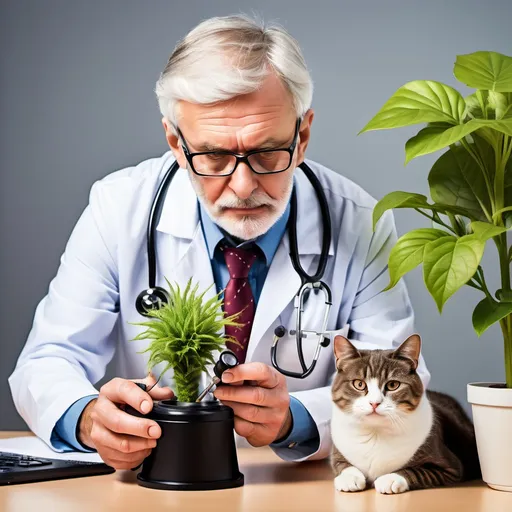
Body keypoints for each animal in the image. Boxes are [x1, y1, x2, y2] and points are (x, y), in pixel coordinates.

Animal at [332, 334, 480, 494]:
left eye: (392, 385)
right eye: (359, 384)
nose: (374, 403)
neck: (375, 433)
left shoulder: (451, 468)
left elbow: (417, 471)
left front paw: (390, 479)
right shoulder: (337, 452)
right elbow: (342, 464)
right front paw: (349, 477)